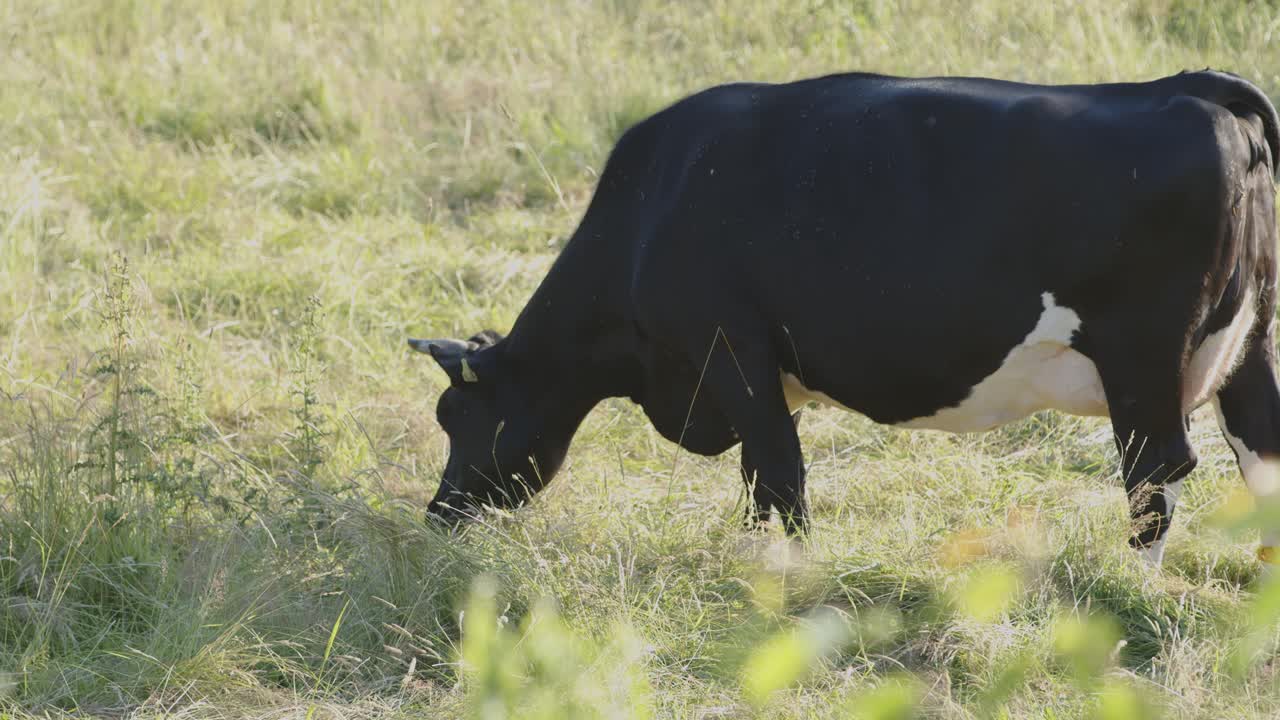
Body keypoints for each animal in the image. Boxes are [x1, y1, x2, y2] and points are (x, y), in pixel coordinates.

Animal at [409, 69, 1279, 567]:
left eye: (457, 416)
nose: (437, 516)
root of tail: (1191, 84)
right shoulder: (754, 374)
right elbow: (761, 479)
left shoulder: (730, 349)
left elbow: (779, 474)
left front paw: (797, 584)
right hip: (1250, 349)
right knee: (1259, 455)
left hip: (1141, 359)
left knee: (1157, 472)